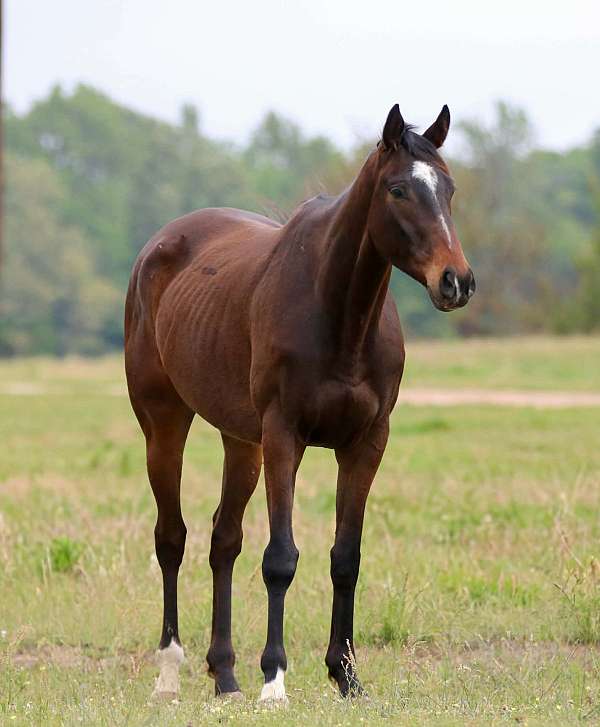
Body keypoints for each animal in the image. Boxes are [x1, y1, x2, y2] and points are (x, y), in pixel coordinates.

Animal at [124, 103, 475, 703]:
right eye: (399, 190)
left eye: (448, 188)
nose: (457, 281)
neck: (339, 316)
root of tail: (159, 246)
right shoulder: (285, 437)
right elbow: (280, 559)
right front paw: (275, 679)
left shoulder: (366, 443)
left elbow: (346, 558)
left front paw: (346, 675)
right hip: (165, 425)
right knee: (172, 539)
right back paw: (170, 674)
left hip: (242, 442)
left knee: (223, 540)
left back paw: (226, 676)